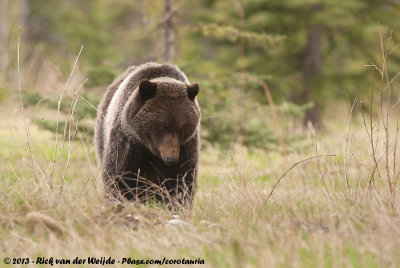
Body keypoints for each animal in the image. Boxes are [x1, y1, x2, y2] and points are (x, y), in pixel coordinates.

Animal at [94, 61, 200, 206]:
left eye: (182, 127)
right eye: (162, 126)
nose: (171, 158)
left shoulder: (185, 149)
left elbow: (182, 181)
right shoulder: (128, 143)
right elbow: (119, 176)